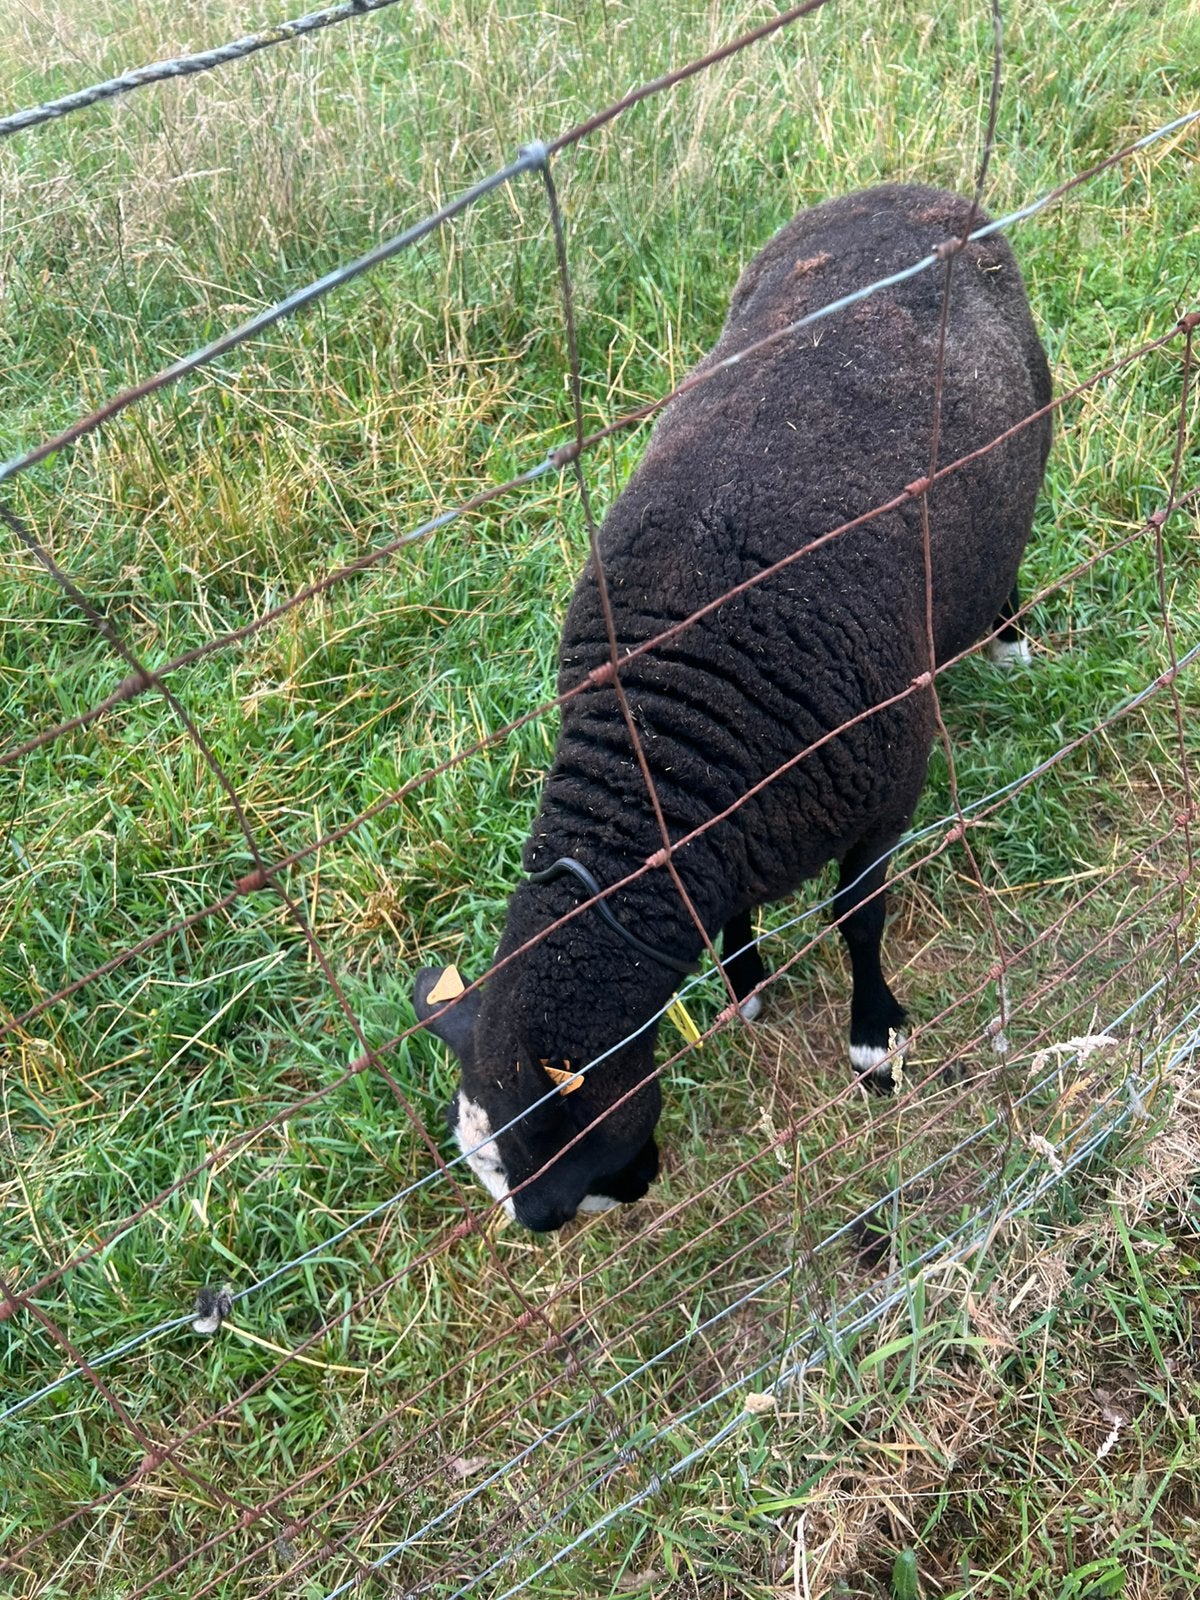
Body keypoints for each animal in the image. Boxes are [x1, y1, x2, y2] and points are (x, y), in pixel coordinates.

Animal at [414, 182, 1052, 1233]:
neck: (662, 763)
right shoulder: (736, 822)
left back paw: (1010, 640)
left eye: (569, 1155)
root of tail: (913, 189)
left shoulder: (883, 791)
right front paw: (745, 988)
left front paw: (874, 1043)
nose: (639, 1187)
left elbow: (856, 917)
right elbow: (735, 911)